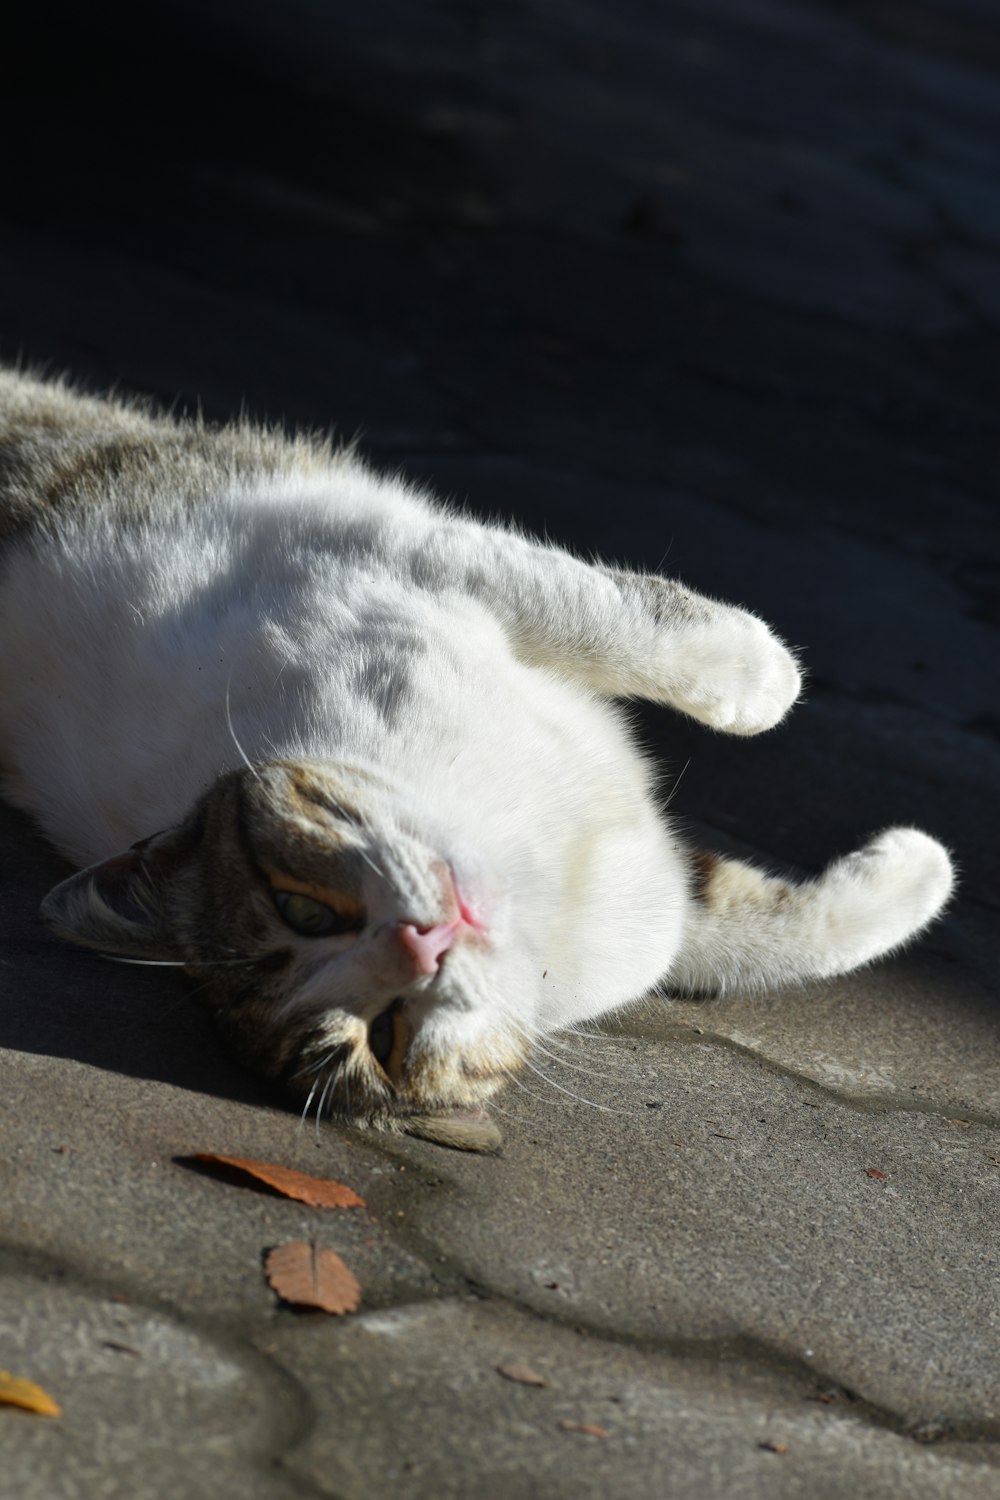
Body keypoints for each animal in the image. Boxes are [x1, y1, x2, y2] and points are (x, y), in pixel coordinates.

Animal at [0, 372, 953, 1146]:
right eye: (382, 1036)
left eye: (298, 907)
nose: (423, 944)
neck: (524, 866)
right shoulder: (650, 911)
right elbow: (737, 935)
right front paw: (919, 868)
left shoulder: (404, 557)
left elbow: (603, 619)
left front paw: (764, 678)